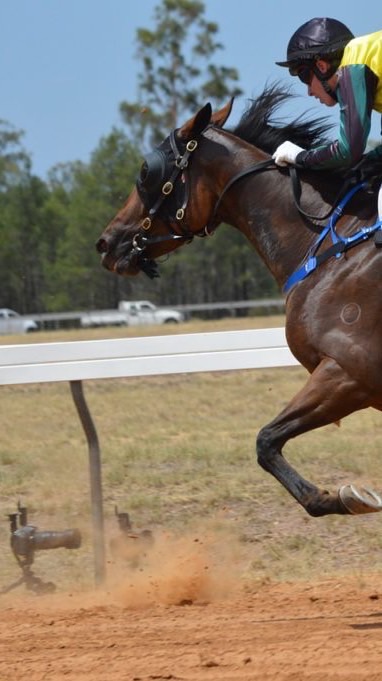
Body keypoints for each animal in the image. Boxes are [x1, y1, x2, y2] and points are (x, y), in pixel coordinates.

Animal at [96, 87, 382, 516]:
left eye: (146, 171)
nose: (107, 243)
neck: (329, 244)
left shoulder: (347, 372)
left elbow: (266, 441)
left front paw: (347, 497)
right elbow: (268, 443)